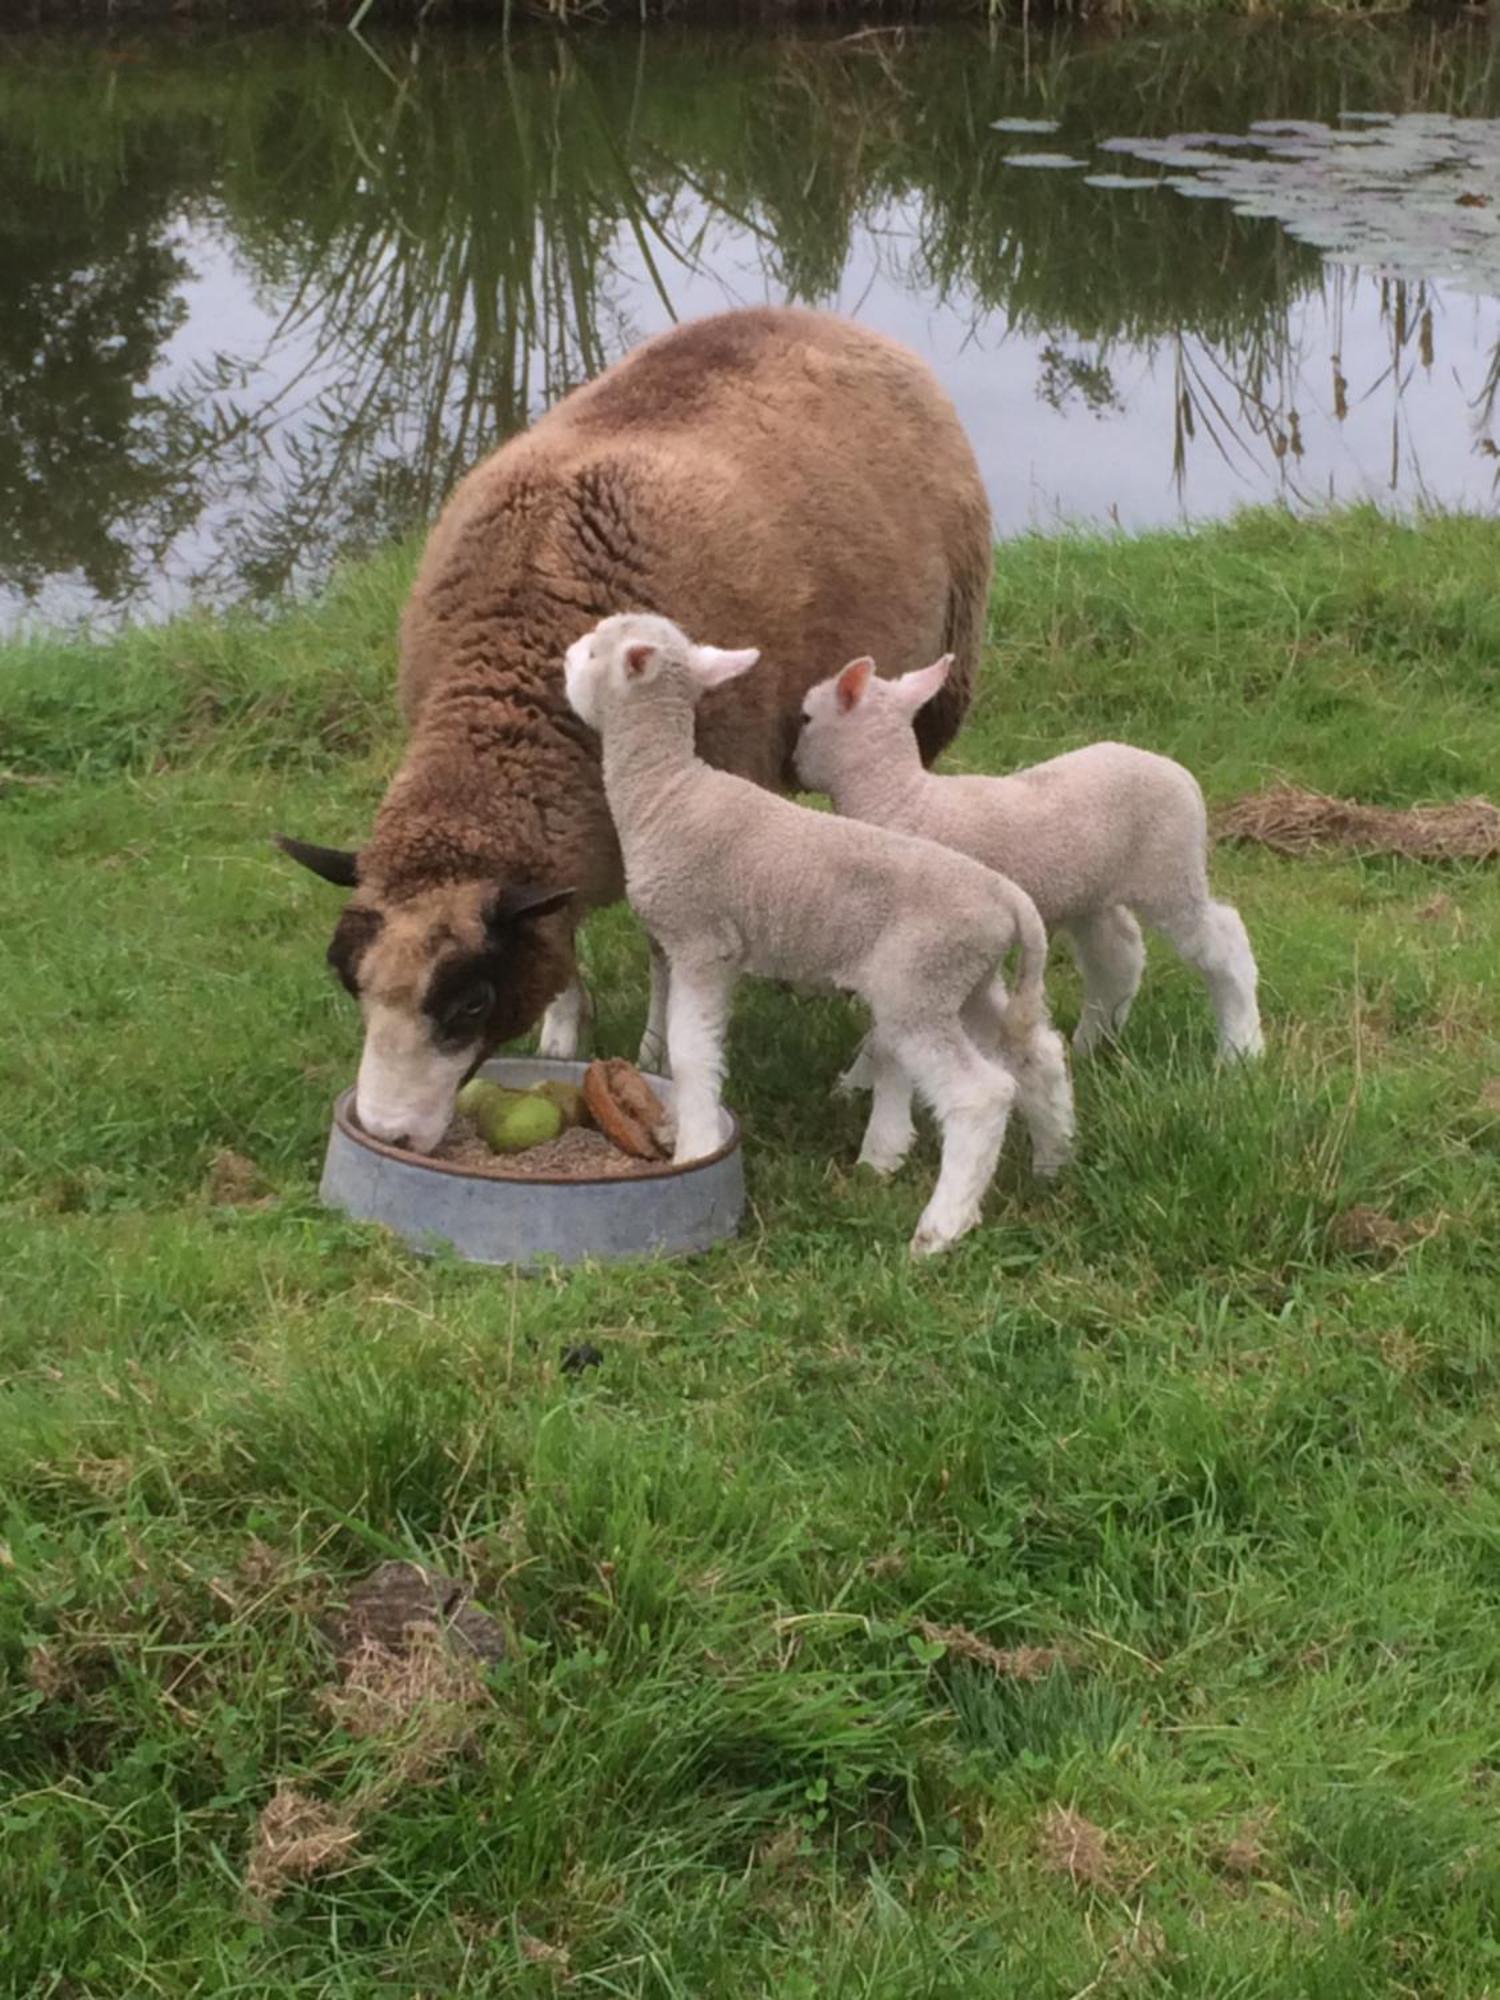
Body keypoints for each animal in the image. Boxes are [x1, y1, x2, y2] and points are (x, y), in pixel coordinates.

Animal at [280, 302, 1000, 1152]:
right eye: (349, 983)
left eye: (472, 1003)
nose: (386, 1135)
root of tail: (813, 315)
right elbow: (560, 935)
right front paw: (563, 1036)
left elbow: (664, 951)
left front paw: (655, 1050)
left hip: (938, 685)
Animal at [560, 616, 1072, 1256]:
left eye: (594, 653)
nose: (564, 657)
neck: (666, 791)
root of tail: (1006, 897)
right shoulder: (704, 949)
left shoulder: (702, 941)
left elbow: (691, 1052)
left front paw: (694, 1147)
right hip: (967, 980)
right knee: (1040, 1053)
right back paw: (1052, 1158)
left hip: (916, 985)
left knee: (981, 1095)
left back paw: (941, 1229)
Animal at [800, 660, 1272, 1088]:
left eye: (805, 717)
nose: (792, 761)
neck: (897, 796)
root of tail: (1183, 776)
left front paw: (856, 1081)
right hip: (1092, 891)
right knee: (1117, 958)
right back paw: (1089, 1046)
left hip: (1171, 874)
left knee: (1223, 942)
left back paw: (1241, 1046)